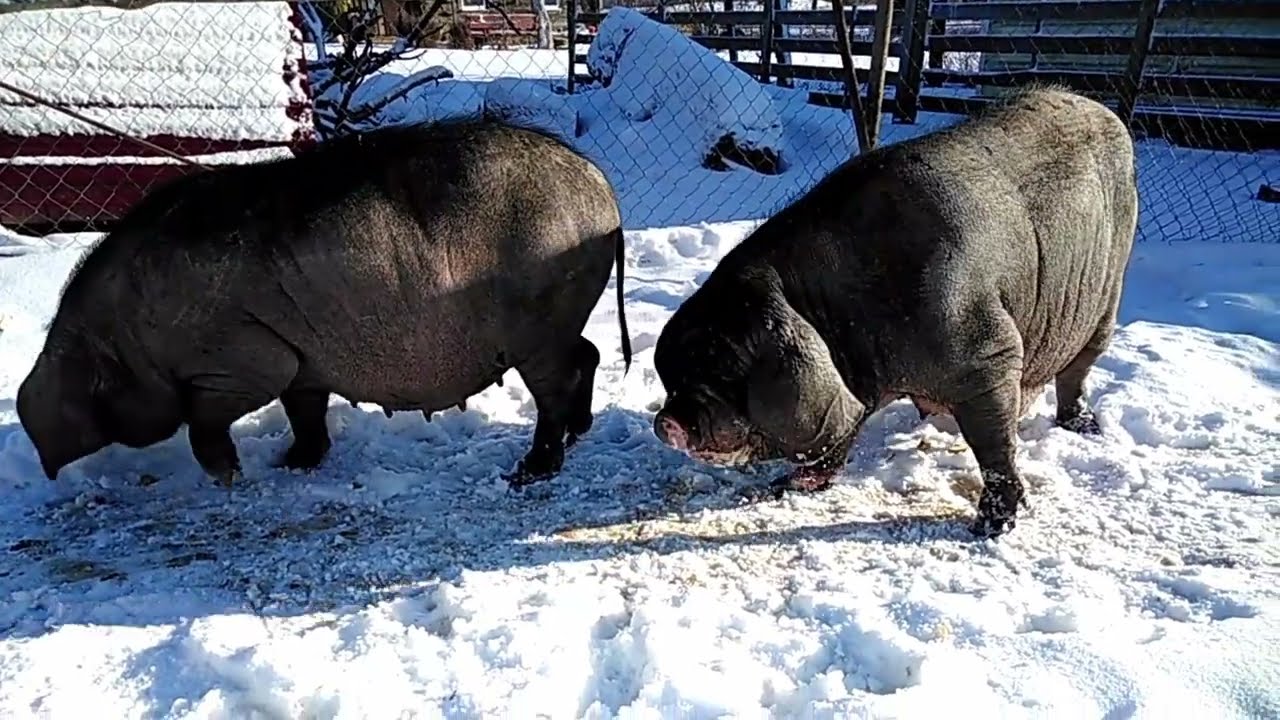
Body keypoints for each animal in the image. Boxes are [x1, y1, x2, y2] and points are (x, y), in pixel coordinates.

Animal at [17, 119, 631, 488]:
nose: (47, 465)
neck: (129, 338)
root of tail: (601, 190)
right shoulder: (301, 362)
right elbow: (304, 410)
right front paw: (293, 464)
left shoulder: (244, 362)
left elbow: (204, 423)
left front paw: (230, 478)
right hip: (557, 321)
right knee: (588, 354)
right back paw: (578, 433)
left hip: (538, 325)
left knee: (557, 384)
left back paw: (529, 472)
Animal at [651, 87, 1138, 538]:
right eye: (671, 373)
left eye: (724, 364)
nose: (665, 421)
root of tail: (1107, 112)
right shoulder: (852, 387)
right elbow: (837, 440)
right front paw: (784, 487)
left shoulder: (989, 353)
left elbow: (994, 445)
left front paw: (990, 527)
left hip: (1108, 295)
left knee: (1078, 371)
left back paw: (1085, 427)